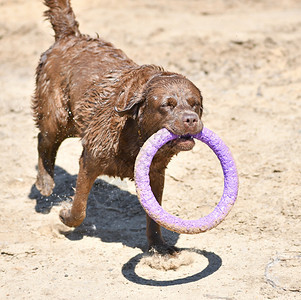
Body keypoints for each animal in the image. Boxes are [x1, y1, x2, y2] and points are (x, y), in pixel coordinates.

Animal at [32, 0, 202, 254]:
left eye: (195, 104)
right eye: (167, 105)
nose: (191, 119)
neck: (135, 132)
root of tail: (70, 36)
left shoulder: (155, 173)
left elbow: (154, 216)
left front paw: (160, 247)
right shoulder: (90, 160)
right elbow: (79, 207)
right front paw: (65, 216)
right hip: (57, 114)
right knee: (44, 140)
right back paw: (45, 183)